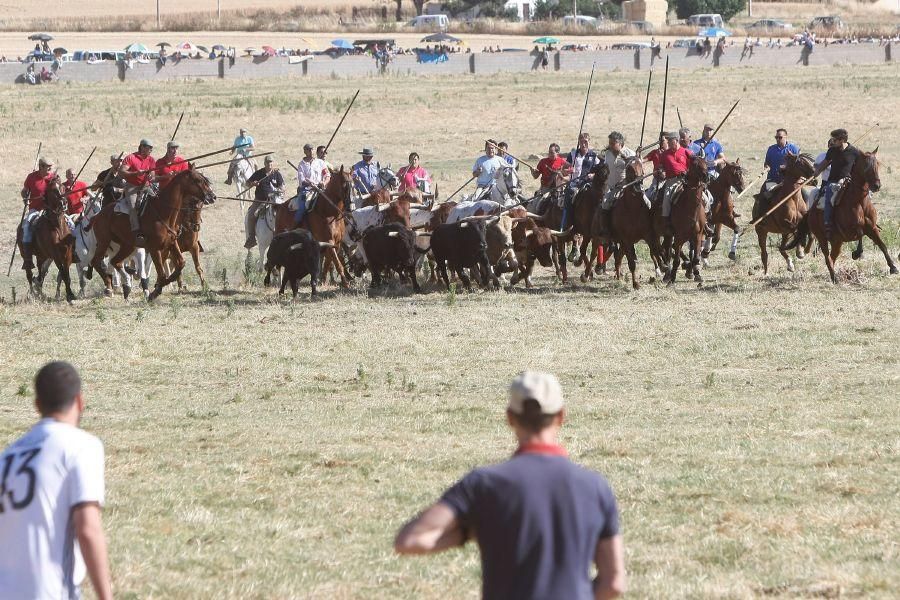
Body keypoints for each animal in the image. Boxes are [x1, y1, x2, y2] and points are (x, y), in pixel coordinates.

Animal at [89, 166, 216, 300]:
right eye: (198, 180)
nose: (212, 196)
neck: (164, 212)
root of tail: (98, 215)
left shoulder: (172, 244)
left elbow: (181, 263)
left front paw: (164, 283)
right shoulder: (155, 249)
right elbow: (161, 272)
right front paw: (156, 290)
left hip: (127, 245)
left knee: (115, 262)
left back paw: (127, 284)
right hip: (104, 242)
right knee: (96, 261)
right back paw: (109, 285)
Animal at [600, 157, 664, 288]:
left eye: (641, 166)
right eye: (629, 168)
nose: (639, 185)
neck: (633, 209)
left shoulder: (648, 235)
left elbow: (655, 251)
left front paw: (663, 267)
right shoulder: (627, 240)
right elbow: (632, 263)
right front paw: (635, 284)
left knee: (618, 257)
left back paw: (619, 276)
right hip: (621, 241)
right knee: (618, 257)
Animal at [660, 155, 712, 286]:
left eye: (705, 163)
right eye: (695, 164)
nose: (707, 177)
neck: (690, 207)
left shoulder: (698, 235)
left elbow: (696, 257)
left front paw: (697, 275)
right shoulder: (679, 236)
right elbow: (676, 259)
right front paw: (672, 280)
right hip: (670, 235)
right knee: (668, 250)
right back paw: (668, 275)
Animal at [800, 149, 896, 282]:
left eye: (877, 164)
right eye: (866, 166)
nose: (877, 186)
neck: (859, 201)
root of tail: (811, 211)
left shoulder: (872, 228)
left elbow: (882, 245)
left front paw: (893, 267)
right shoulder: (850, 230)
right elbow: (860, 233)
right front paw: (857, 253)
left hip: (837, 242)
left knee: (832, 257)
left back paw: (834, 275)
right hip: (822, 237)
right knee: (827, 256)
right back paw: (834, 277)